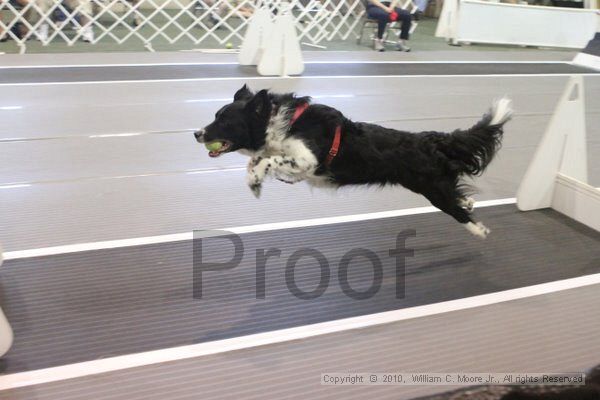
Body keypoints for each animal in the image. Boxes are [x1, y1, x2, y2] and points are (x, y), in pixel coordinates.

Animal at [195, 85, 512, 239]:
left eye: (224, 121)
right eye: (215, 116)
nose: (197, 133)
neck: (281, 124)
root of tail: (432, 140)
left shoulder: (307, 160)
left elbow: (266, 161)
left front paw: (255, 180)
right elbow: (259, 160)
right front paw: (254, 179)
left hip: (434, 191)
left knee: (457, 210)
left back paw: (479, 230)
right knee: (461, 196)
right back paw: (469, 203)